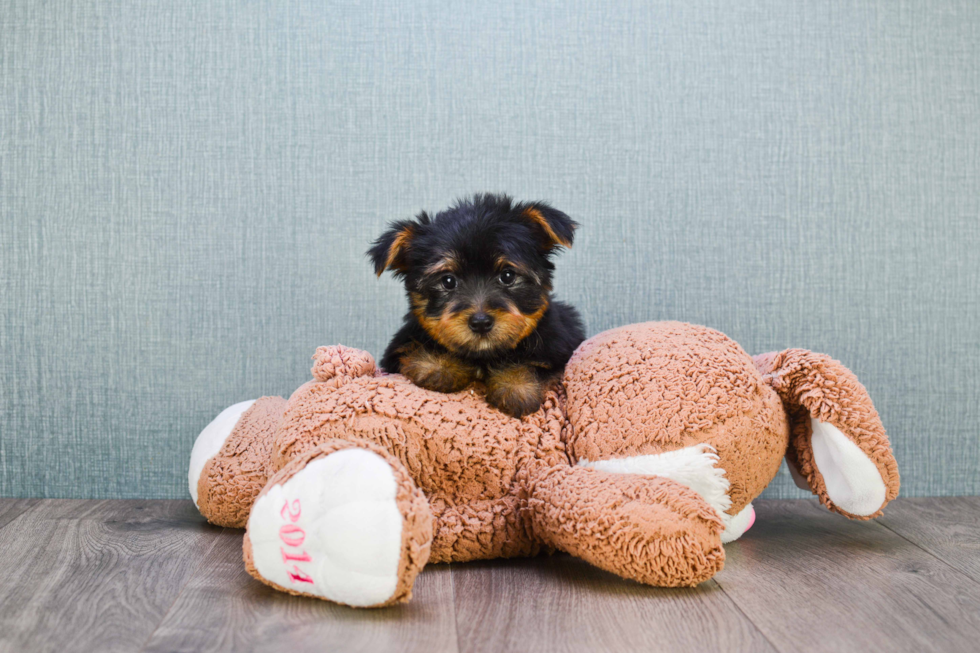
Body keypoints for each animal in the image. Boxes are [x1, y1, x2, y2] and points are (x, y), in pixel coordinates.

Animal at [366, 195, 580, 418]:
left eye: (508, 276)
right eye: (448, 281)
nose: (480, 322)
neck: (483, 356)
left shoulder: (558, 347)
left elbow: (533, 362)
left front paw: (516, 386)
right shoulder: (398, 348)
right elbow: (412, 349)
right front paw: (439, 365)